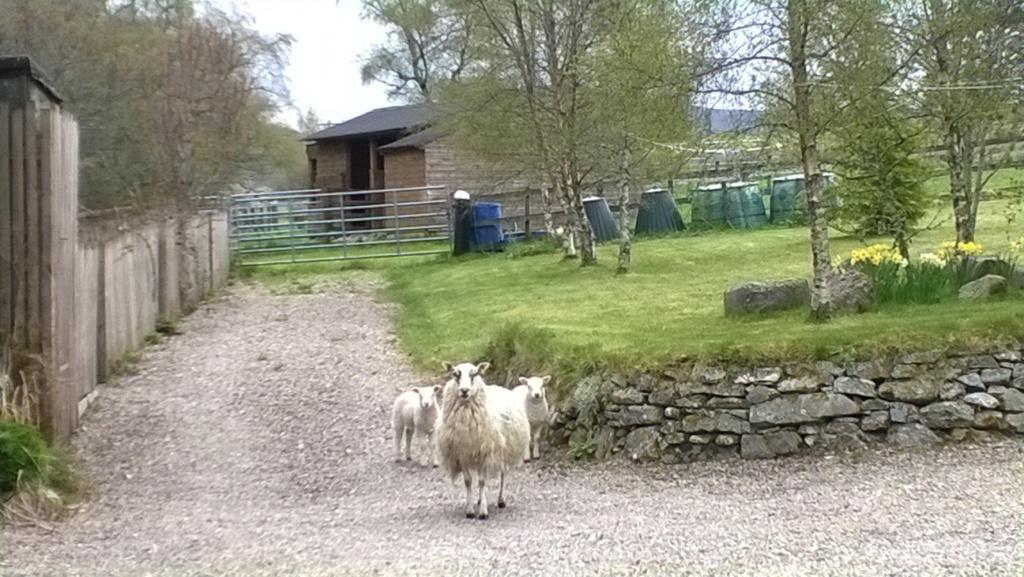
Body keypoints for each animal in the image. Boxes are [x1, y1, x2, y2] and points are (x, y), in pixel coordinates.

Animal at [436, 360, 528, 518]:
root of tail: (498, 386)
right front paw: (470, 510)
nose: (464, 390)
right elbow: (468, 482)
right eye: (455, 374)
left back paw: (500, 500)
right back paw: (479, 500)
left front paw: (483, 512)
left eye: (475, 374)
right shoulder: (462, 454)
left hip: (503, 450)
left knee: (502, 474)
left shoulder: (485, 452)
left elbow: (482, 481)